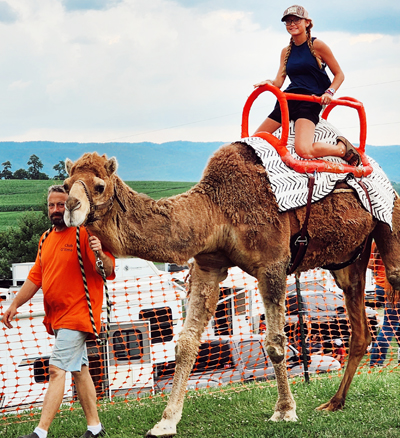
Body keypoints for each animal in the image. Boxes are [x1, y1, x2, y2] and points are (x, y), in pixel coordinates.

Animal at [61, 148, 400, 438]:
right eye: (65, 185)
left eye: (99, 186)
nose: (70, 208)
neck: (216, 209)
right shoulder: (208, 265)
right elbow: (186, 345)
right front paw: (165, 422)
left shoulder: (272, 264)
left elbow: (275, 344)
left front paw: (284, 411)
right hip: (349, 261)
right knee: (360, 330)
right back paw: (334, 402)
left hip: (389, 226)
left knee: (392, 281)